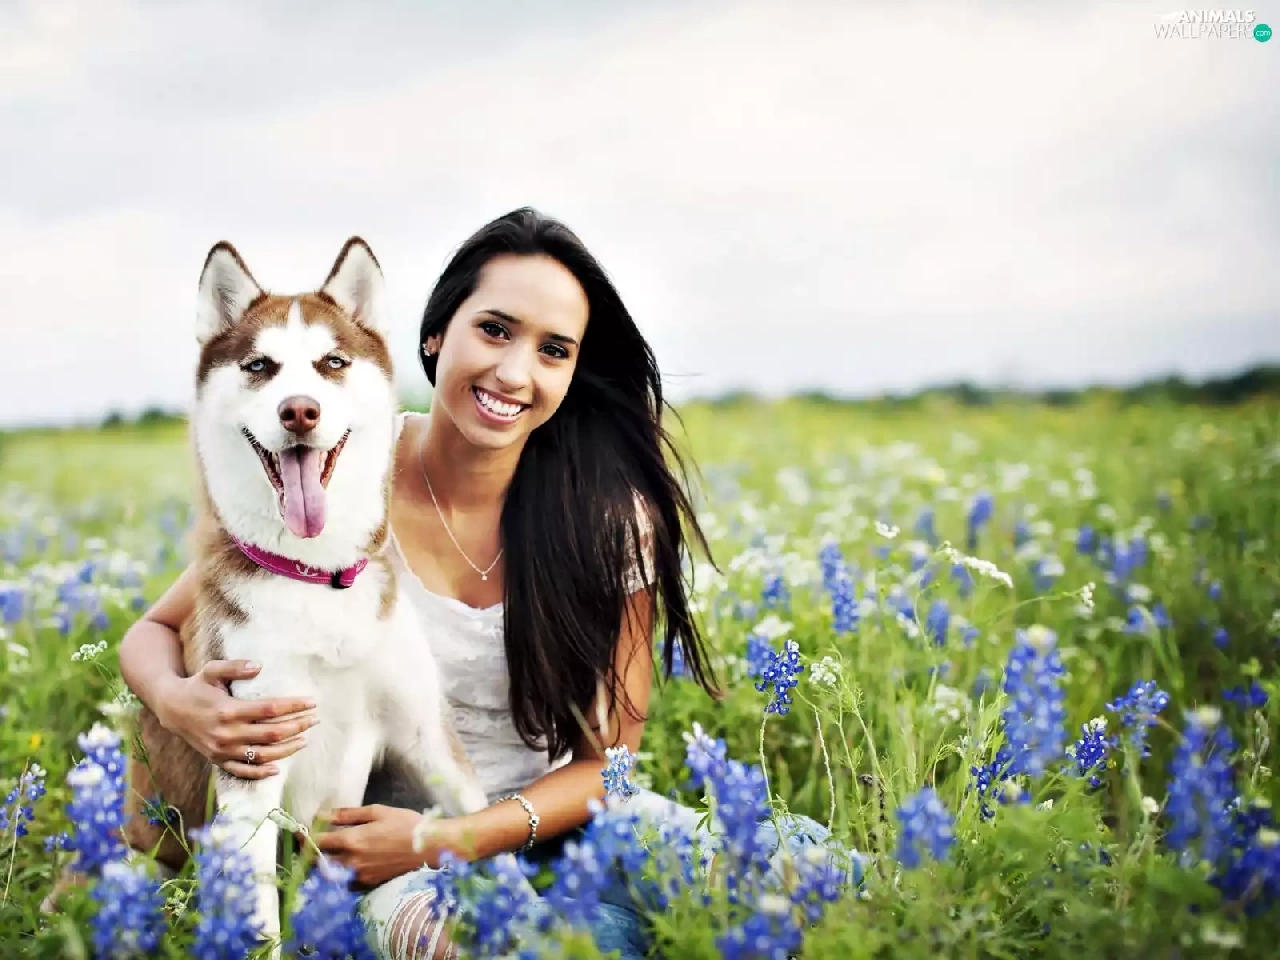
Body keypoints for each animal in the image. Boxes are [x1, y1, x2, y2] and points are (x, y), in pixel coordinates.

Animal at [120, 236, 489, 944]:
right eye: (260, 366)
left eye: (332, 363)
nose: (299, 410)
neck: (318, 577)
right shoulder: (250, 764)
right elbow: (262, 921)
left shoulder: (426, 734)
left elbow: (480, 819)